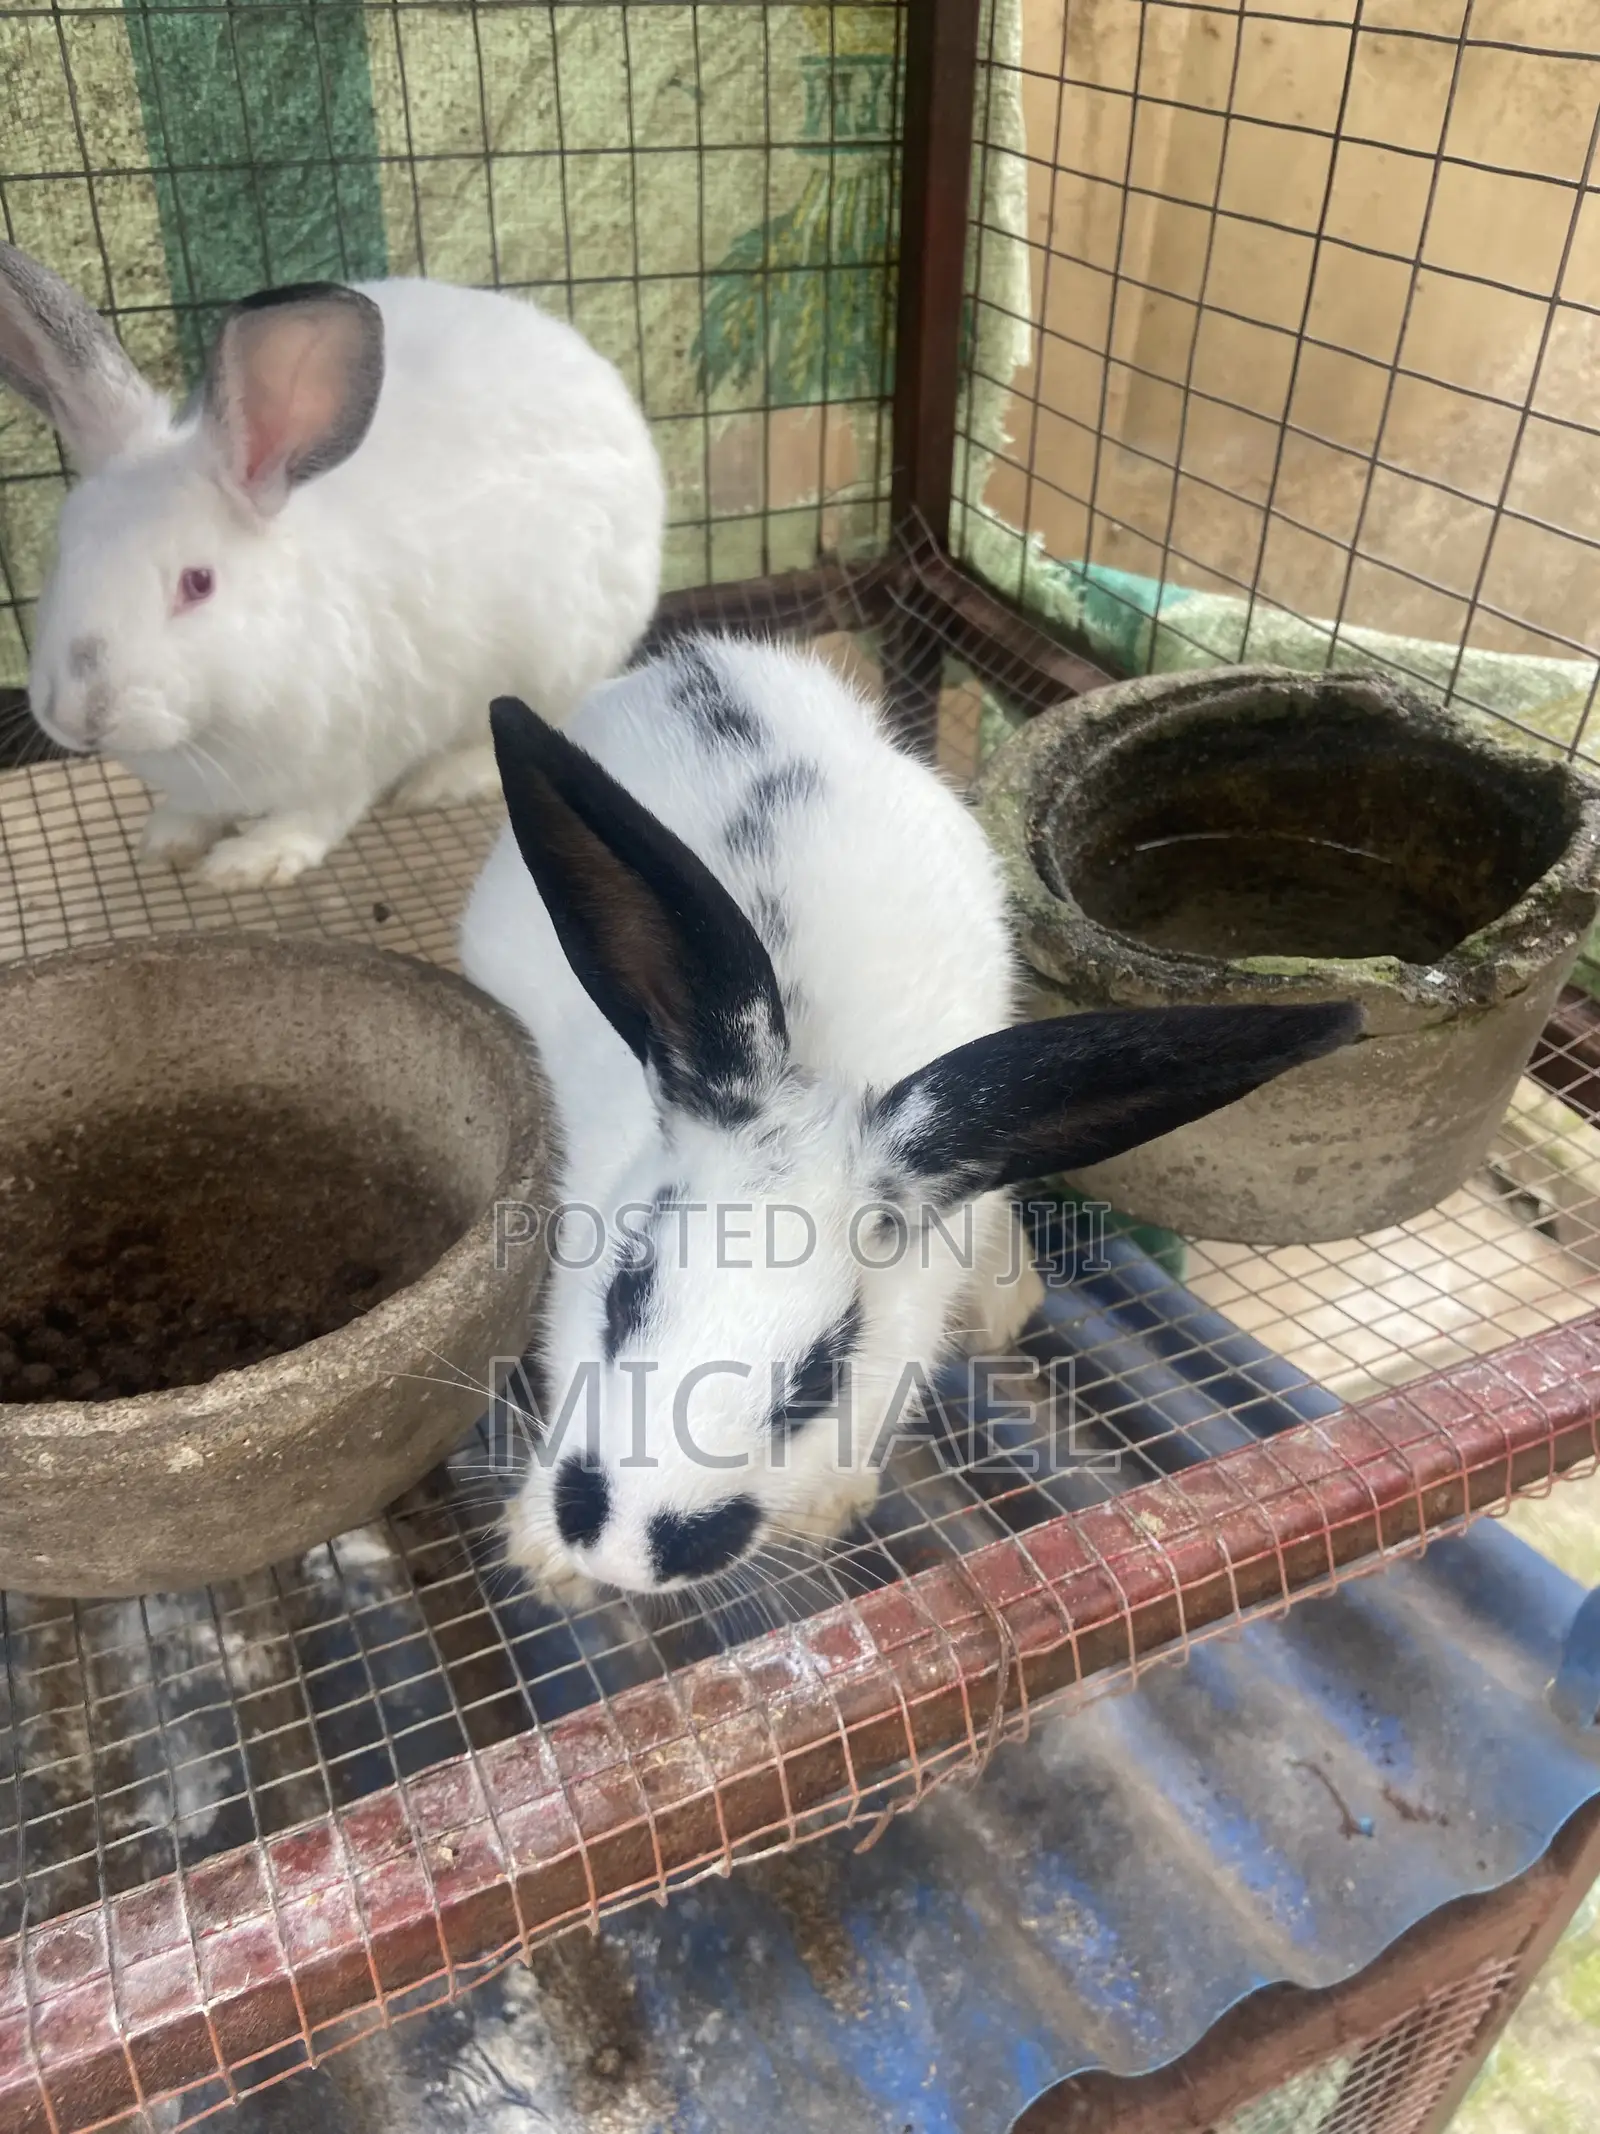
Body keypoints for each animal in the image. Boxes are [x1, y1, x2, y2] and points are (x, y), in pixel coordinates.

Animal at [0, 247, 664, 888]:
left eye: (198, 583)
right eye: (62, 554)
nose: (75, 716)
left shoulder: (352, 758)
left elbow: (318, 815)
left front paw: (250, 861)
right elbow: (194, 810)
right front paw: (169, 839)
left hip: (557, 660)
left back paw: (443, 780)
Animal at [459, 635, 1362, 1603]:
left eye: (822, 1376)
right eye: (624, 1295)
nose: (622, 1550)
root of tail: (717, 662)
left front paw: (829, 1507)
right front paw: (545, 1560)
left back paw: (1006, 1300)